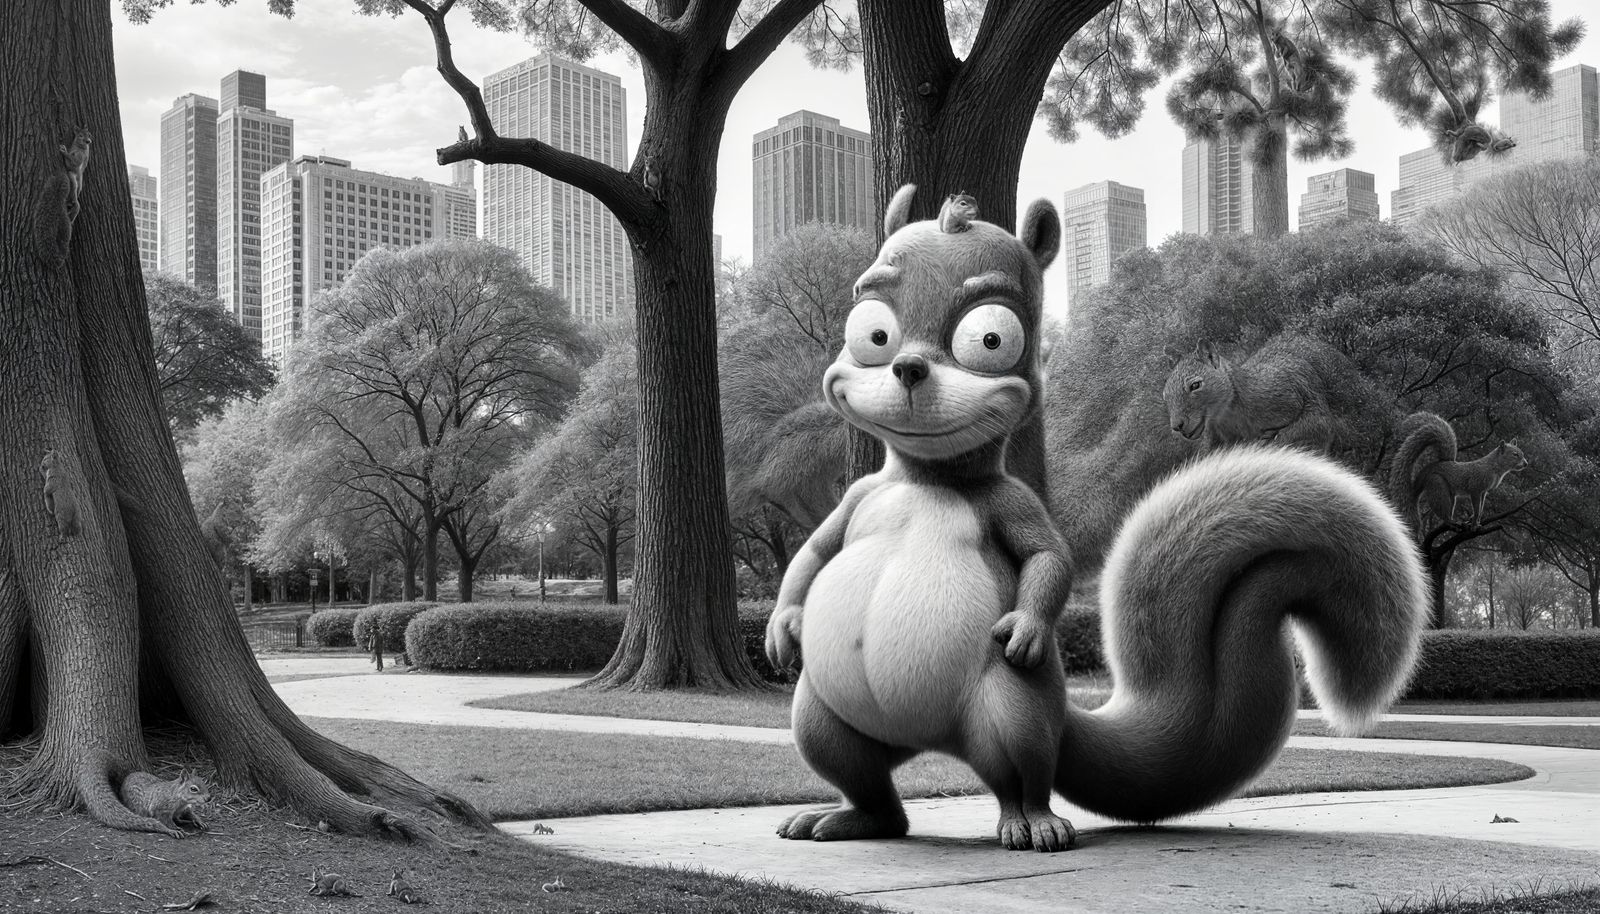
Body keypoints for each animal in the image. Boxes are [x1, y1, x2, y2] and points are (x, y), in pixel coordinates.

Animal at [765, 184, 1429, 851]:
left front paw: (1027, 628)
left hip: (1013, 710)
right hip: (823, 716)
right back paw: (847, 818)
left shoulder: (1013, 501)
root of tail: (932, 743)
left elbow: (1046, 557)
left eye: (992, 339)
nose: (906, 368)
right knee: (871, 788)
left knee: (1021, 778)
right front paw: (782, 628)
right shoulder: (859, 494)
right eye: (872, 331)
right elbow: (813, 553)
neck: (929, 476)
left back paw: (1032, 824)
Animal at [1386, 411, 1528, 531]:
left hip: (1450, 494)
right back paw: (1452, 521)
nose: (1526, 463)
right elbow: (1476, 507)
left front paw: (1476, 521)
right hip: (1437, 485)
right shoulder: (1476, 487)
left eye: (1521, 452)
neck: (1495, 468)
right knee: (1442, 512)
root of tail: (1425, 472)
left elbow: (1481, 508)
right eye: (1515, 454)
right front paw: (1474, 524)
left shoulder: (1484, 491)